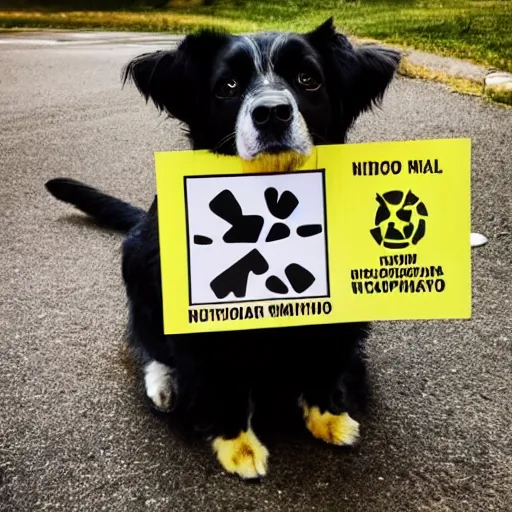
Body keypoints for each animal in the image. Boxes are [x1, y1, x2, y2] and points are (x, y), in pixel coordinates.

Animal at [45, 17, 400, 480]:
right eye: (227, 86)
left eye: (309, 79)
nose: (272, 113)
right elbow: (219, 380)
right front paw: (237, 445)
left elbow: (325, 360)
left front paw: (329, 415)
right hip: (139, 261)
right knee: (144, 340)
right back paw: (165, 385)